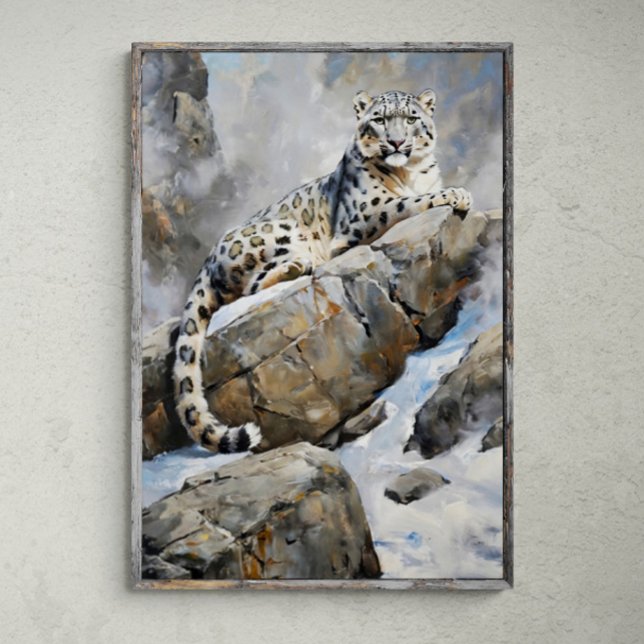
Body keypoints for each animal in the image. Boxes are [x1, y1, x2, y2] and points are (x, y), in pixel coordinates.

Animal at [173, 88, 472, 454]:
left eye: (412, 118)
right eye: (380, 119)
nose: (397, 142)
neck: (411, 173)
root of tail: (209, 258)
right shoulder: (366, 214)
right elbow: (408, 202)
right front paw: (456, 193)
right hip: (280, 232)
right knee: (249, 285)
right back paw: (302, 265)